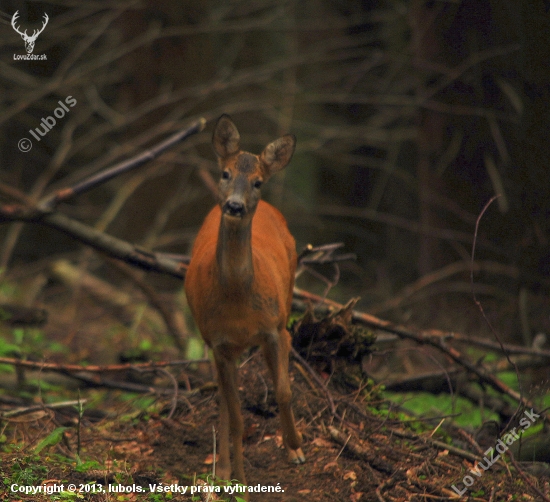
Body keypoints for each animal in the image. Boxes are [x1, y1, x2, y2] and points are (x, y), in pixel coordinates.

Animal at [185, 114, 306, 490]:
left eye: (257, 181)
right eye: (225, 173)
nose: (235, 206)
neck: (238, 300)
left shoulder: (274, 329)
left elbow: (284, 391)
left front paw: (295, 446)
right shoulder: (219, 342)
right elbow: (236, 414)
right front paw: (235, 478)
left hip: (286, 298)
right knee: (225, 401)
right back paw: (223, 469)